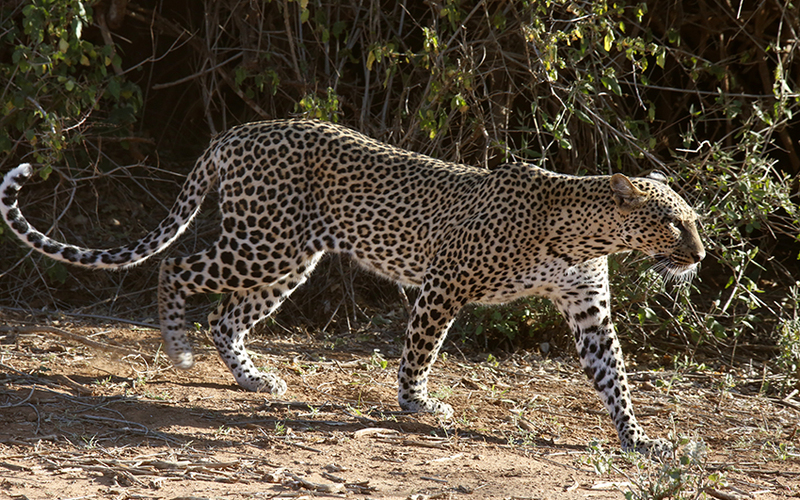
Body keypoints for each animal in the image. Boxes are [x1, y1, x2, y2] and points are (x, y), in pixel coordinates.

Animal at [0, 119, 704, 456]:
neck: (583, 235)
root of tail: (237, 131)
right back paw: (177, 348)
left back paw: (253, 380)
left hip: (292, 258)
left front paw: (639, 440)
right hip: (264, 243)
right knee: (177, 269)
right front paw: (418, 406)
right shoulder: (444, 285)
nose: (701, 254)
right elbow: (419, 351)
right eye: (673, 222)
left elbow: (614, 378)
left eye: (691, 221)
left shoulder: (588, 309)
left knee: (226, 317)